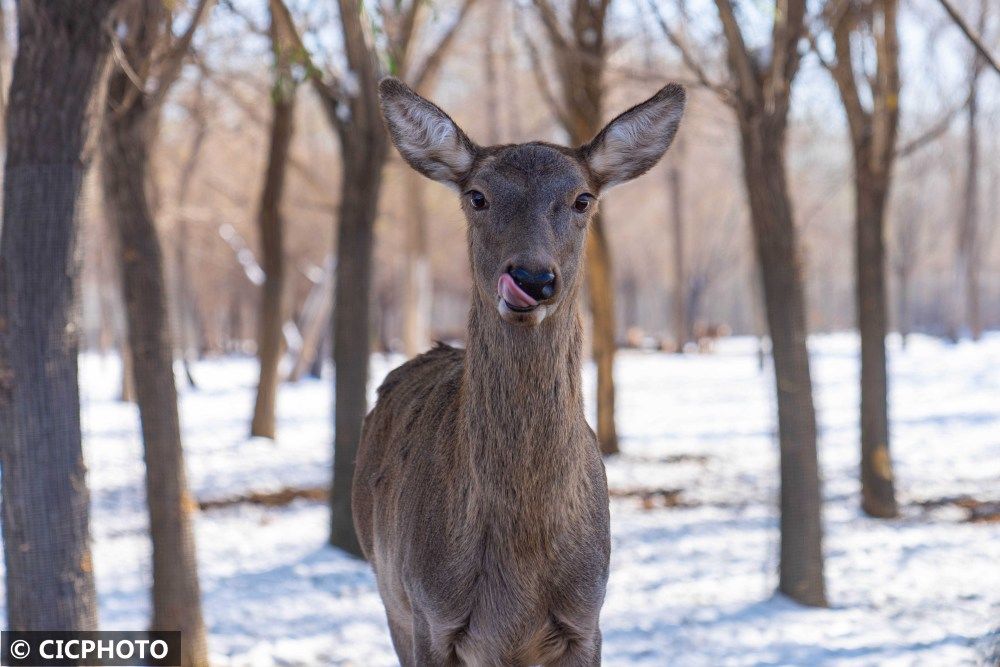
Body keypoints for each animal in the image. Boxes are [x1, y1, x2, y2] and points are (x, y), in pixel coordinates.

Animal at [352, 75, 688, 664]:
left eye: (582, 199)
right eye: (477, 196)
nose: (532, 277)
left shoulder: (586, 617)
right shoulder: (428, 612)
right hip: (388, 589)